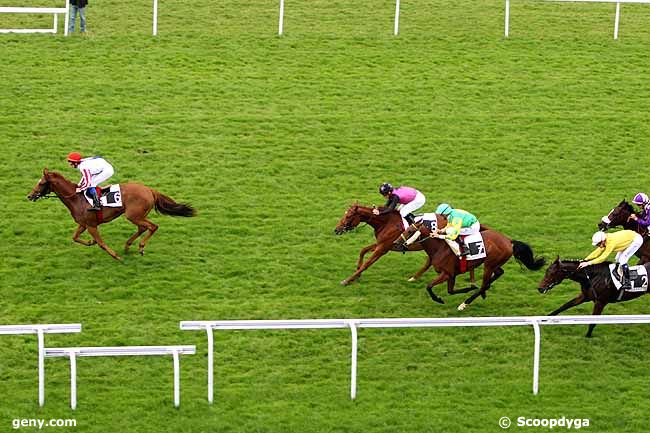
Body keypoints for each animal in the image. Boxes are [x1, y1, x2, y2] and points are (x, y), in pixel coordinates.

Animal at [27, 169, 195, 260]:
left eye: (41, 183)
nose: (30, 196)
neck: (76, 198)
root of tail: (150, 190)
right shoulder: (83, 224)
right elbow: (74, 237)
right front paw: (90, 242)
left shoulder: (91, 225)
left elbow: (101, 243)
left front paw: (116, 256)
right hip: (137, 216)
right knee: (143, 228)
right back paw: (127, 246)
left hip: (133, 215)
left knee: (152, 226)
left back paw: (140, 247)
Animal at [334, 203, 476, 286]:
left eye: (349, 216)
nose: (336, 230)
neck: (386, 222)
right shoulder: (381, 244)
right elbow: (363, 250)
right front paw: (357, 273)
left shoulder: (383, 248)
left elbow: (367, 263)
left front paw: (348, 280)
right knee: (430, 261)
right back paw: (414, 278)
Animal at [400, 221, 540, 308]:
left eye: (410, 231)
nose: (399, 243)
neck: (439, 248)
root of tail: (508, 240)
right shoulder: (452, 274)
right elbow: (450, 291)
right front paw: (469, 288)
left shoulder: (447, 273)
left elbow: (429, 286)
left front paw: (439, 299)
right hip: (494, 263)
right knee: (498, 274)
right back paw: (482, 292)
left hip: (489, 264)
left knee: (484, 284)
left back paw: (465, 303)